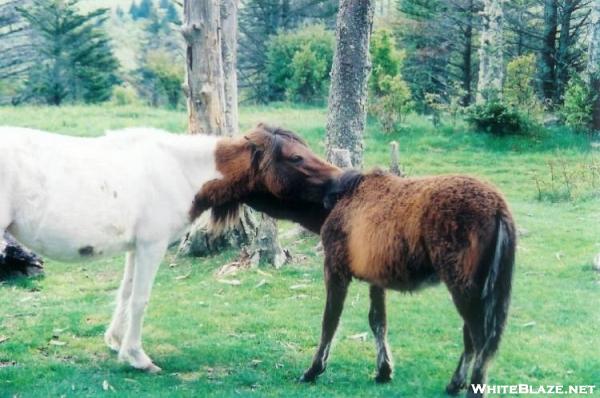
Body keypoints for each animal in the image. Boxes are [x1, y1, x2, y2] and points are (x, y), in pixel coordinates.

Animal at [0, 126, 223, 372]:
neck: (177, 167)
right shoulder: (152, 246)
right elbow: (139, 299)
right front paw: (137, 357)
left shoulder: (136, 247)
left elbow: (126, 292)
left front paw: (116, 341)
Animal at [193, 123, 516, 396]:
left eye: (297, 156)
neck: (333, 204)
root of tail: (499, 208)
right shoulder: (377, 279)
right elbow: (378, 322)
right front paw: (383, 371)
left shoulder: (335, 271)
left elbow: (330, 322)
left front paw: (314, 370)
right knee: (473, 337)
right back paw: (455, 384)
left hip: (464, 287)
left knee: (480, 339)